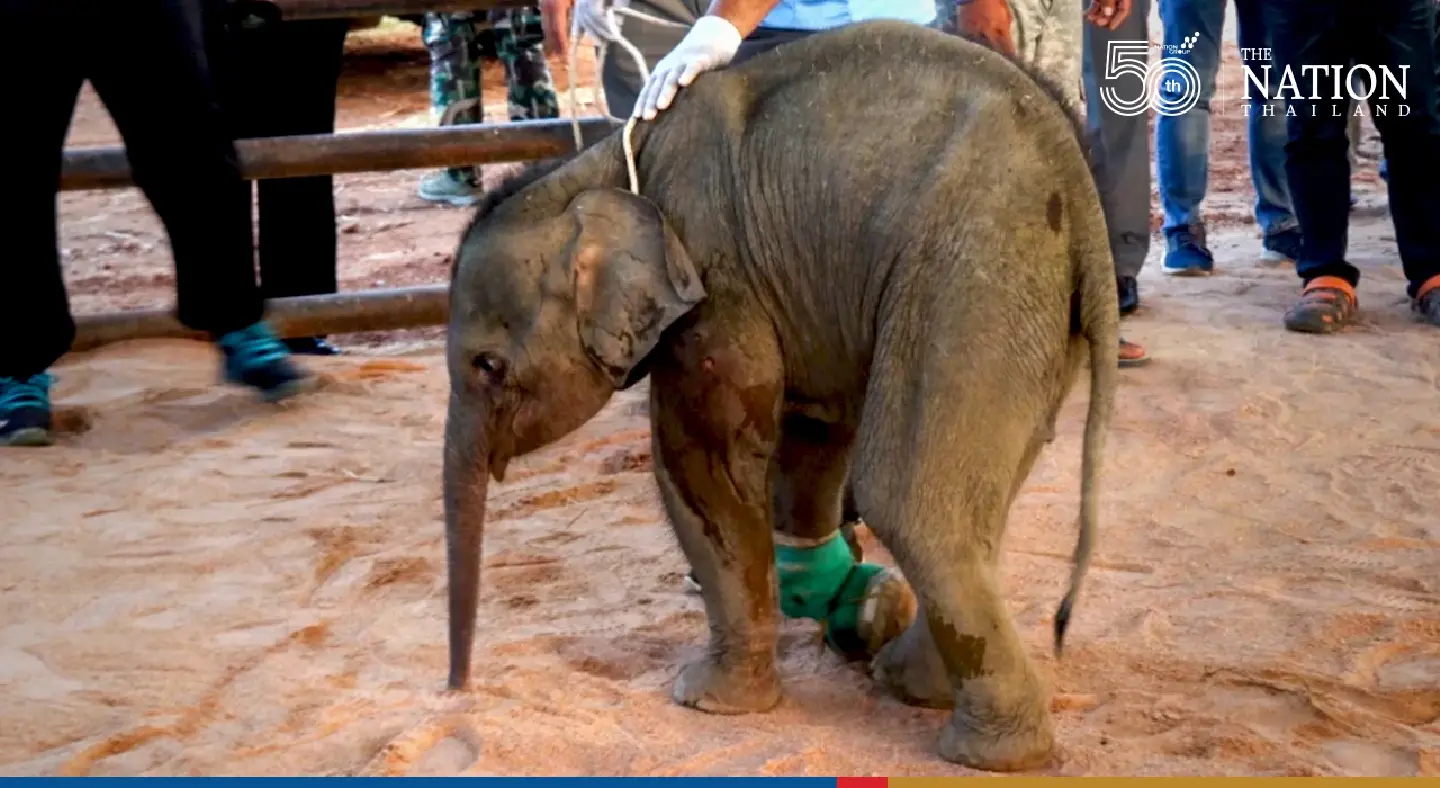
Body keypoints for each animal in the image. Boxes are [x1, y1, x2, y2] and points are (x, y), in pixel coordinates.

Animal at [442, 20, 1117, 771]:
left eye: (487, 365)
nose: (457, 692)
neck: (600, 168)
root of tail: (1078, 187)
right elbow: (812, 430)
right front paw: (824, 594)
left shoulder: (717, 277)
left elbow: (704, 469)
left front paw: (705, 701)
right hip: (1035, 308)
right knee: (970, 499)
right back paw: (910, 681)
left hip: (976, 269)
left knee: (909, 500)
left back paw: (985, 753)